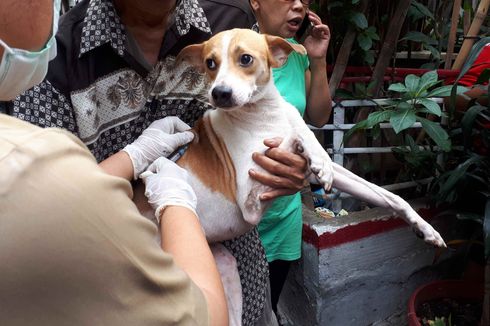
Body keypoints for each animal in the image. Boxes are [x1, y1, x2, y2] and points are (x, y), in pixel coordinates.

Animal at [139, 28, 448, 326]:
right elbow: (297, 131)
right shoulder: (250, 202)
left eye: (245, 59)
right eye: (210, 63)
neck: (263, 115)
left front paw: (426, 229)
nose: (219, 94)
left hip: (224, 268)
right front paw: (310, 147)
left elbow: (389, 196)